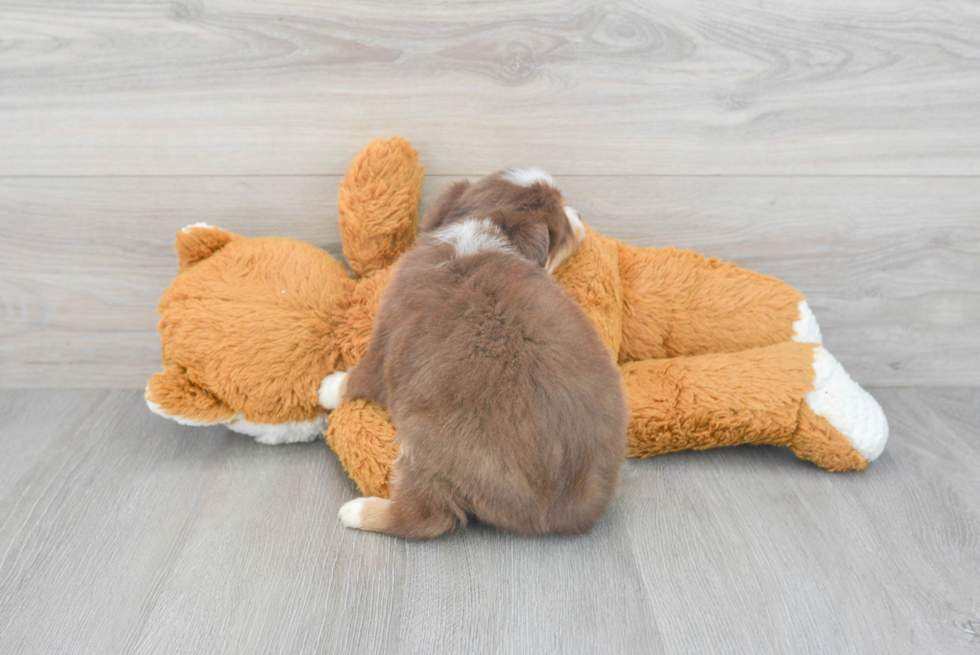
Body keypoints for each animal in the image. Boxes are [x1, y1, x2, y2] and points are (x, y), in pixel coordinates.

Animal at [322, 168, 628, 540]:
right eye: (565, 226)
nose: (580, 215)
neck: (485, 225)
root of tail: (564, 514)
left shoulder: (386, 338)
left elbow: (357, 378)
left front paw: (327, 387)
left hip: (427, 442)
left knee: (425, 516)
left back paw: (358, 511)